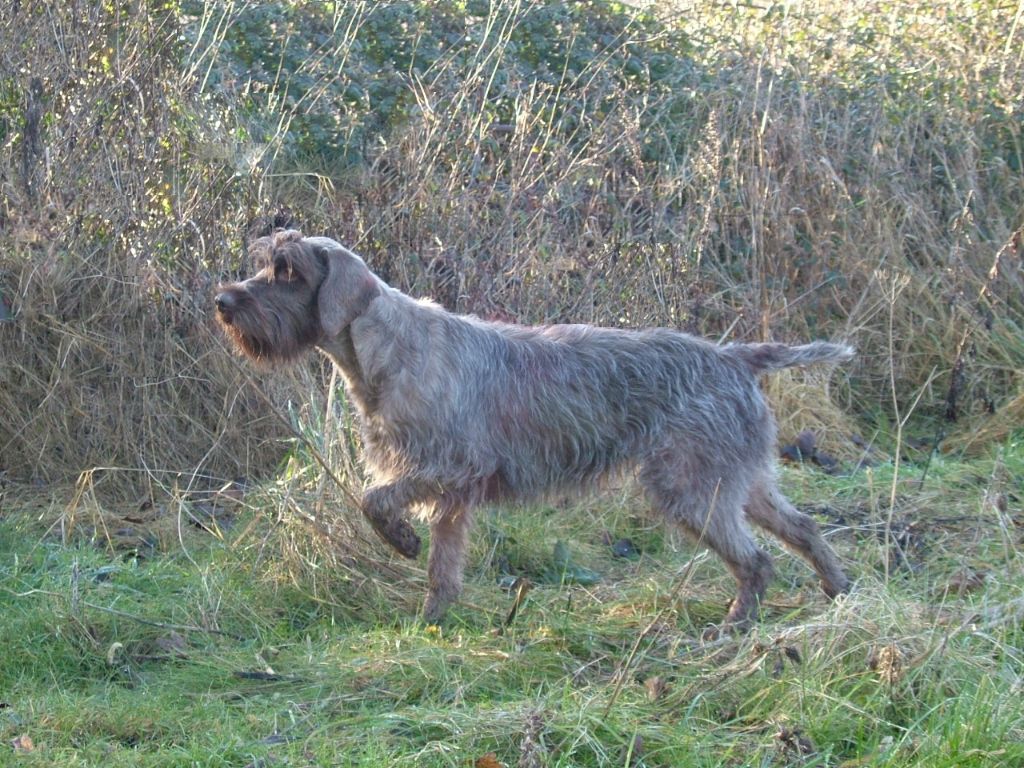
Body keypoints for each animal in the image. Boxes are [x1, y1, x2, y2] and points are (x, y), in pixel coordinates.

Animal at [218, 231, 856, 626]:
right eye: (266, 263)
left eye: (289, 271)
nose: (223, 300)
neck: (384, 348)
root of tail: (735, 357)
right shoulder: (453, 495)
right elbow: (443, 570)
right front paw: (432, 621)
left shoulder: (448, 468)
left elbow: (373, 500)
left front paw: (401, 541)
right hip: (743, 483)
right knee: (804, 528)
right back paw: (838, 590)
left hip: (694, 490)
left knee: (757, 561)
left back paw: (735, 625)